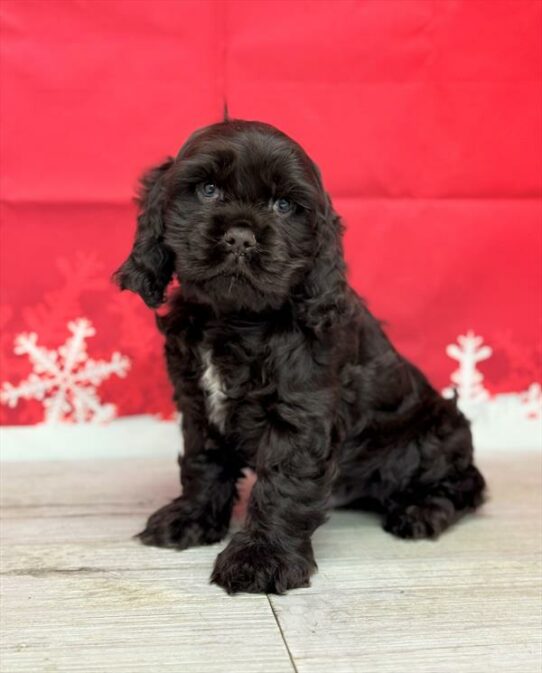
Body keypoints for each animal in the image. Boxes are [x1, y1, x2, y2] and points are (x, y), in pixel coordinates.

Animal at [115, 121, 488, 592]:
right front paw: (191, 519)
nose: (240, 238)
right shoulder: (197, 404)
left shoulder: (300, 411)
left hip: (432, 435)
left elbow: (283, 485)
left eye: (284, 205)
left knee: (466, 483)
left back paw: (420, 512)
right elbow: (203, 462)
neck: (236, 319)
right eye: (207, 190)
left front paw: (261, 558)